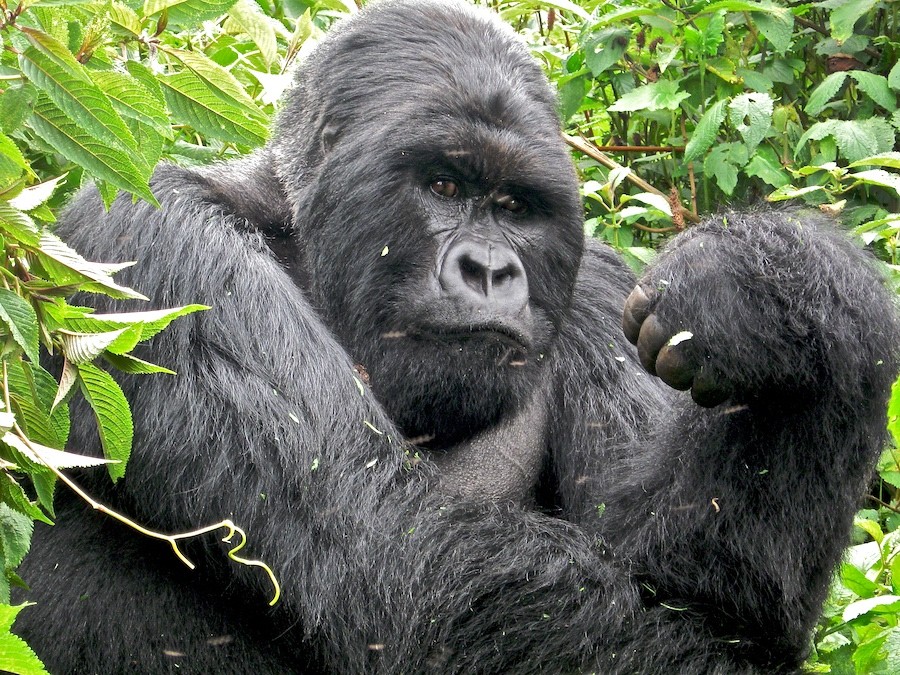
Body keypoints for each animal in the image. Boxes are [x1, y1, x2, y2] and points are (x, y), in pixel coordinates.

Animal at [12, 1, 900, 675]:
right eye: (442, 185)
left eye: (514, 206)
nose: (490, 269)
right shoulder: (152, 240)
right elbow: (406, 578)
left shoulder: (595, 290)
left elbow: (698, 589)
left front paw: (784, 302)